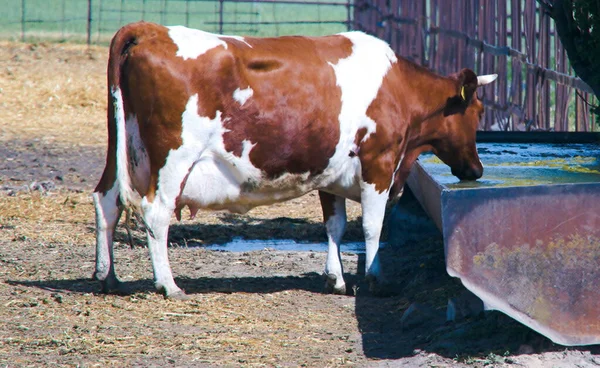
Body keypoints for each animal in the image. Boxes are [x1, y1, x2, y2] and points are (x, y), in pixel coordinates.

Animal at [94, 20, 496, 300]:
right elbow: (372, 227)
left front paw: (336, 278)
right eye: (478, 112)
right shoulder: (379, 164)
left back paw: (107, 277)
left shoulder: (330, 172)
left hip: (119, 151)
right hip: (174, 159)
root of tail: (150, 29)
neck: (397, 87)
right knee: (156, 212)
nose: (476, 170)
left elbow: (334, 226)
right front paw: (375, 279)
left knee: (107, 199)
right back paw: (168, 284)